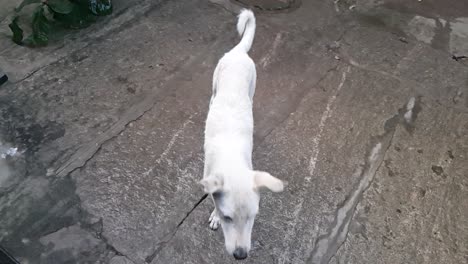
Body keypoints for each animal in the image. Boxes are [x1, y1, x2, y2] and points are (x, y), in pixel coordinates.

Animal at [201, 8, 286, 260]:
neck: (230, 159)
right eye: (228, 218)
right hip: (215, 81)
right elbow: (214, 199)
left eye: (252, 217)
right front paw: (214, 216)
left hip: (252, 84)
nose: (240, 255)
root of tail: (239, 52)